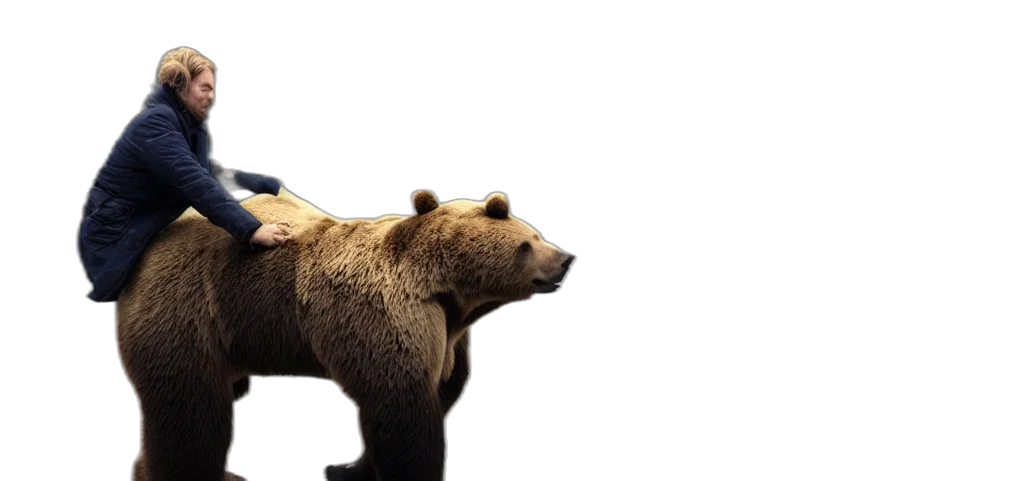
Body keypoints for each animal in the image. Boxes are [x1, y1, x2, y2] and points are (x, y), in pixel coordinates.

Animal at [114, 188, 577, 481]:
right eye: (528, 242)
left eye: (536, 233)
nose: (565, 259)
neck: (447, 291)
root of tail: (149, 247)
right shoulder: (385, 313)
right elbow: (401, 402)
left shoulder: (449, 336)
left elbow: (438, 390)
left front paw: (350, 469)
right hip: (191, 308)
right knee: (187, 399)